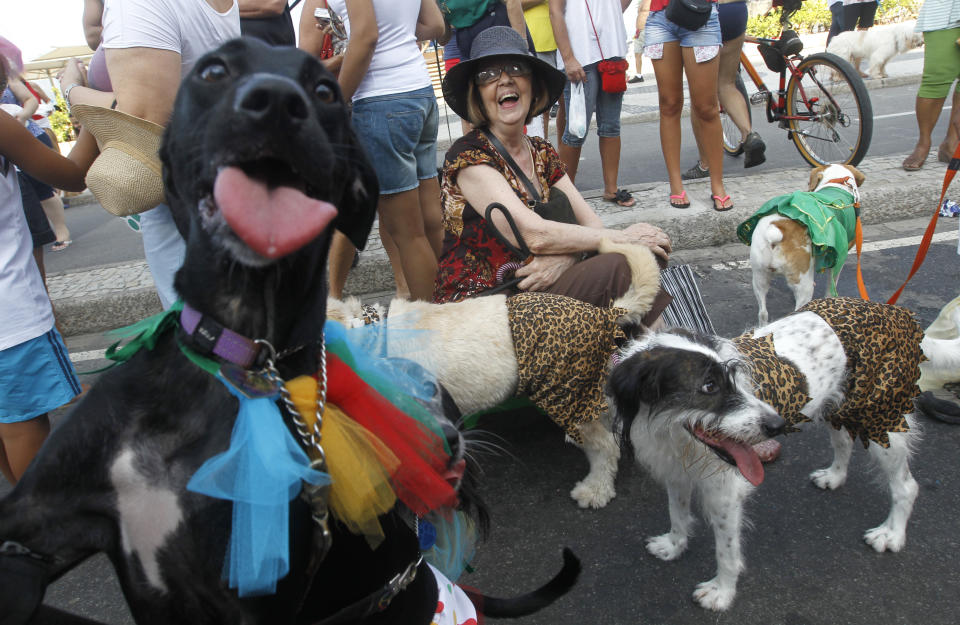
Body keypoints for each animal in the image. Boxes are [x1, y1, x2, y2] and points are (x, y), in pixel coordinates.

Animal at [608, 296, 924, 608]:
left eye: (736, 378)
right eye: (709, 386)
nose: (777, 425)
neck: (674, 436)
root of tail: (890, 310)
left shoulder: (725, 495)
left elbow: (726, 551)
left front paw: (722, 592)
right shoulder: (676, 473)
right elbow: (677, 513)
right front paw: (674, 545)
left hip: (883, 422)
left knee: (906, 486)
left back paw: (891, 534)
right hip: (837, 407)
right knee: (843, 441)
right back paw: (834, 476)